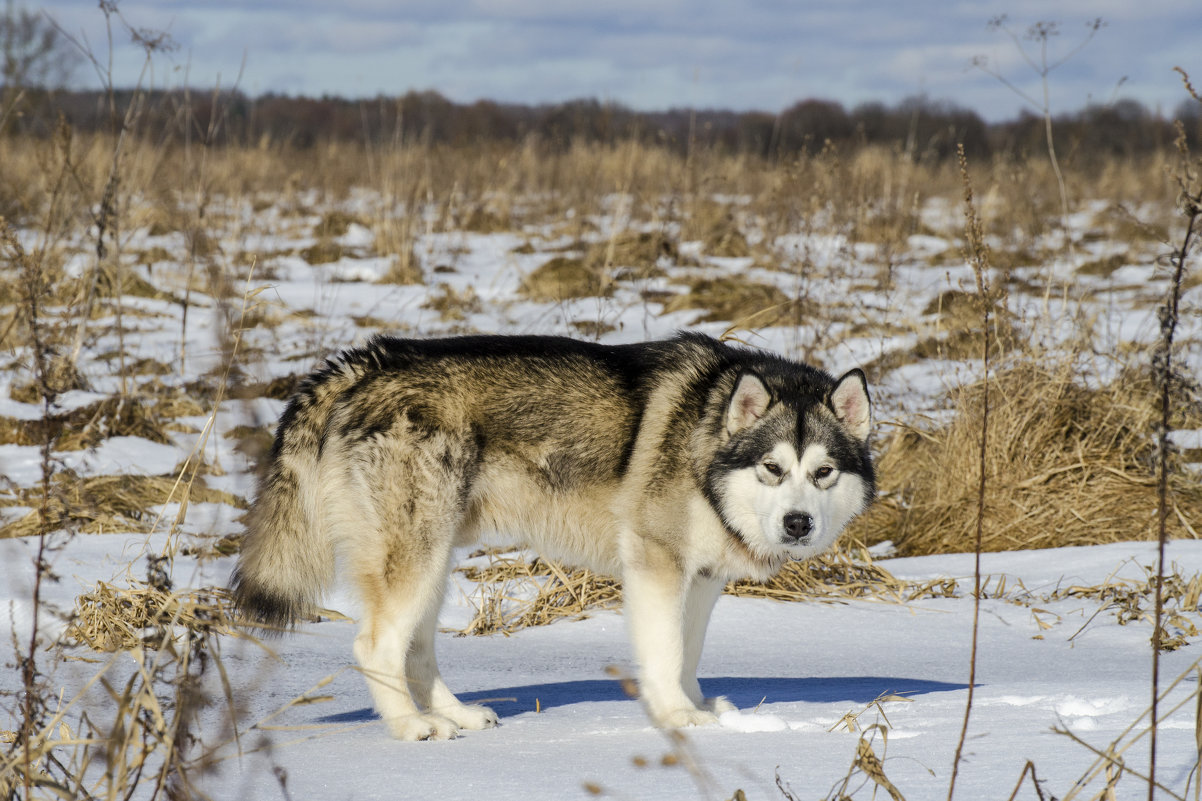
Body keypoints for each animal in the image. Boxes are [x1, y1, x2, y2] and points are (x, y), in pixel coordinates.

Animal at [231, 329, 875, 736]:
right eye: (772, 468)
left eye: (824, 473)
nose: (798, 523)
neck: (703, 440)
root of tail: (367, 362)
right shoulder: (656, 566)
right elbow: (664, 652)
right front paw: (676, 718)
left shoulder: (702, 578)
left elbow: (687, 652)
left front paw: (701, 708)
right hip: (415, 557)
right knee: (375, 647)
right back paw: (413, 727)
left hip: (434, 560)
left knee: (416, 649)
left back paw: (456, 716)